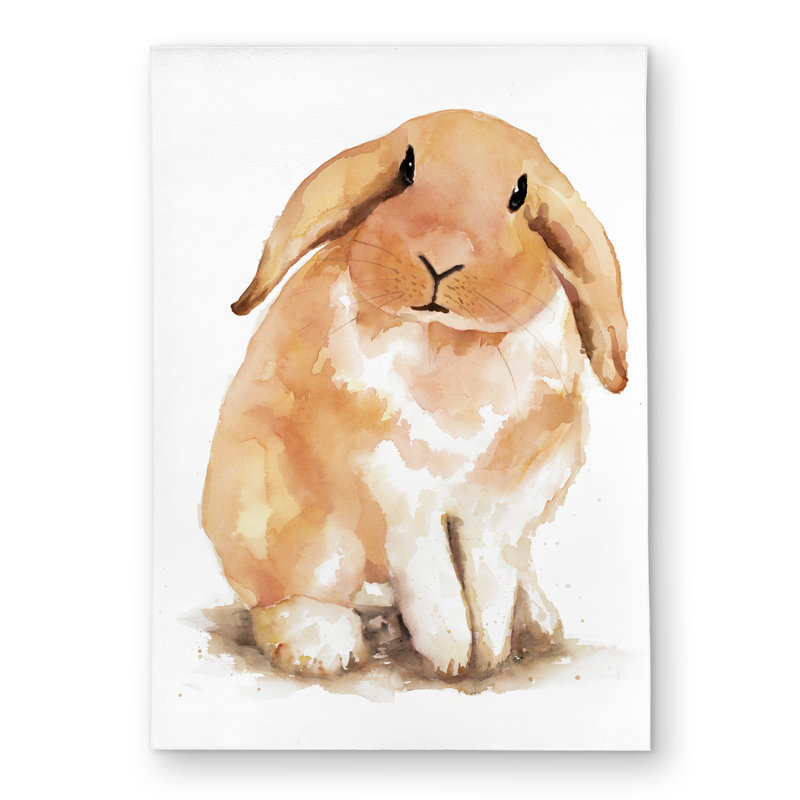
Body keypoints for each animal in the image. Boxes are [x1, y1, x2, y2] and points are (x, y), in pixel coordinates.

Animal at [202, 109, 628, 680]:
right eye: (406, 170)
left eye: (519, 195)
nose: (441, 259)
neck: (450, 341)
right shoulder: (399, 493)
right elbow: (434, 579)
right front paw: (453, 656)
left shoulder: (505, 507)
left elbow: (487, 580)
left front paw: (489, 655)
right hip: (285, 517)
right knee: (289, 591)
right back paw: (322, 644)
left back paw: (536, 620)